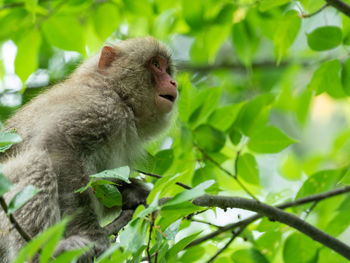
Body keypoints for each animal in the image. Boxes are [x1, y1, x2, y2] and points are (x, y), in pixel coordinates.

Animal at [0, 36, 178, 262]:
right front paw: (89, 232)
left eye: (167, 70)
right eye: (156, 65)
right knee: (37, 163)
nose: (174, 83)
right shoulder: (100, 106)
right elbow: (59, 145)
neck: (118, 94)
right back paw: (41, 254)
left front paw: (134, 194)